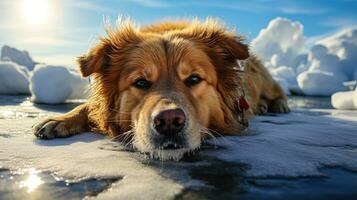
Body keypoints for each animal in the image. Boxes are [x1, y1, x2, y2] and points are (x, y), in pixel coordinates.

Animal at [33, 18, 290, 160]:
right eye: (141, 82)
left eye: (194, 79)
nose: (169, 121)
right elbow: (89, 107)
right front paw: (59, 120)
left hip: (264, 79)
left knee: (277, 91)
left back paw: (278, 105)